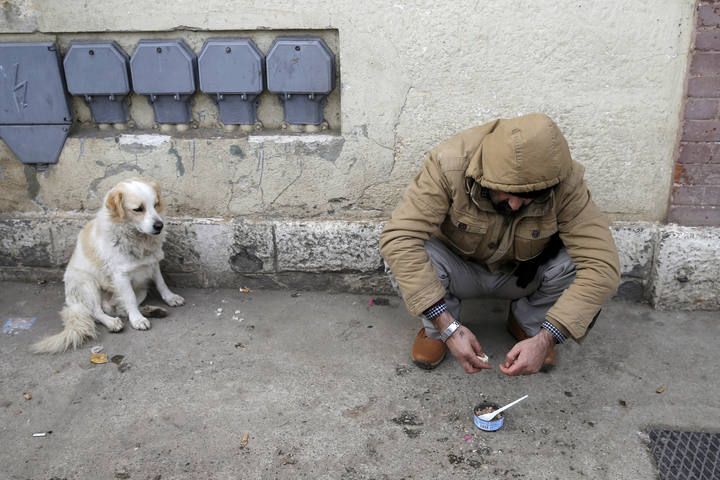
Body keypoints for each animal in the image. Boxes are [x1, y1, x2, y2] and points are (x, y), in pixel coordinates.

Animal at [32, 177, 184, 352]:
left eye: (156, 204)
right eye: (138, 209)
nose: (160, 225)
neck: (137, 238)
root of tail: (73, 304)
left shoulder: (152, 263)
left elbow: (161, 284)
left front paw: (171, 298)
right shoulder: (121, 276)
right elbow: (129, 299)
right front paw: (137, 320)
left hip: (141, 289)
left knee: (118, 309)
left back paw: (151, 311)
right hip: (88, 285)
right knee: (97, 312)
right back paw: (113, 322)